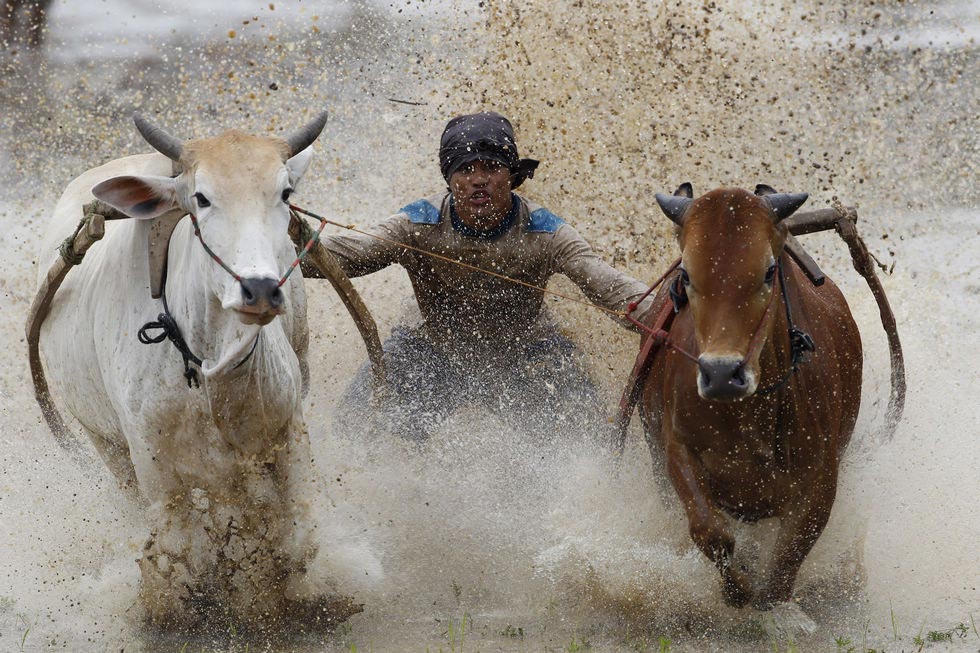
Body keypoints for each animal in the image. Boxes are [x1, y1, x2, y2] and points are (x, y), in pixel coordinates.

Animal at [34, 112, 372, 628]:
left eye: (285, 193)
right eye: (202, 197)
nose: (259, 290)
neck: (211, 370)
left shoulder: (288, 433)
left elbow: (295, 535)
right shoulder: (152, 462)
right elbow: (176, 546)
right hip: (104, 443)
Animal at [640, 182, 860, 608]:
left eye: (769, 271)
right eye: (686, 274)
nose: (722, 375)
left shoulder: (821, 478)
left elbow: (784, 566)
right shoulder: (676, 449)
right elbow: (709, 531)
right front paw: (737, 591)